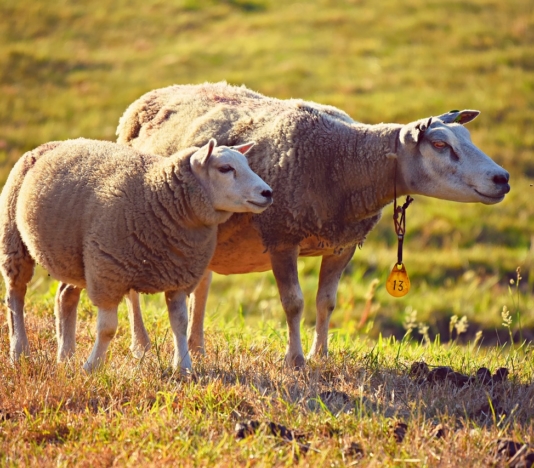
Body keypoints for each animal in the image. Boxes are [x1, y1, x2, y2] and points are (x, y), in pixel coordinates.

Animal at [0, 137, 274, 372]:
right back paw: (19, 352)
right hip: (14, 241)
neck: (156, 194)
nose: (267, 193)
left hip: (74, 256)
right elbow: (108, 329)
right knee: (15, 296)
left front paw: (184, 367)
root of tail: (49, 145)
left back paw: (65, 357)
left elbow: (180, 324)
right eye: (225, 168)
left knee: (64, 297)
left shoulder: (179, 276)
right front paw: (92, 367)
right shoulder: (108, 272)